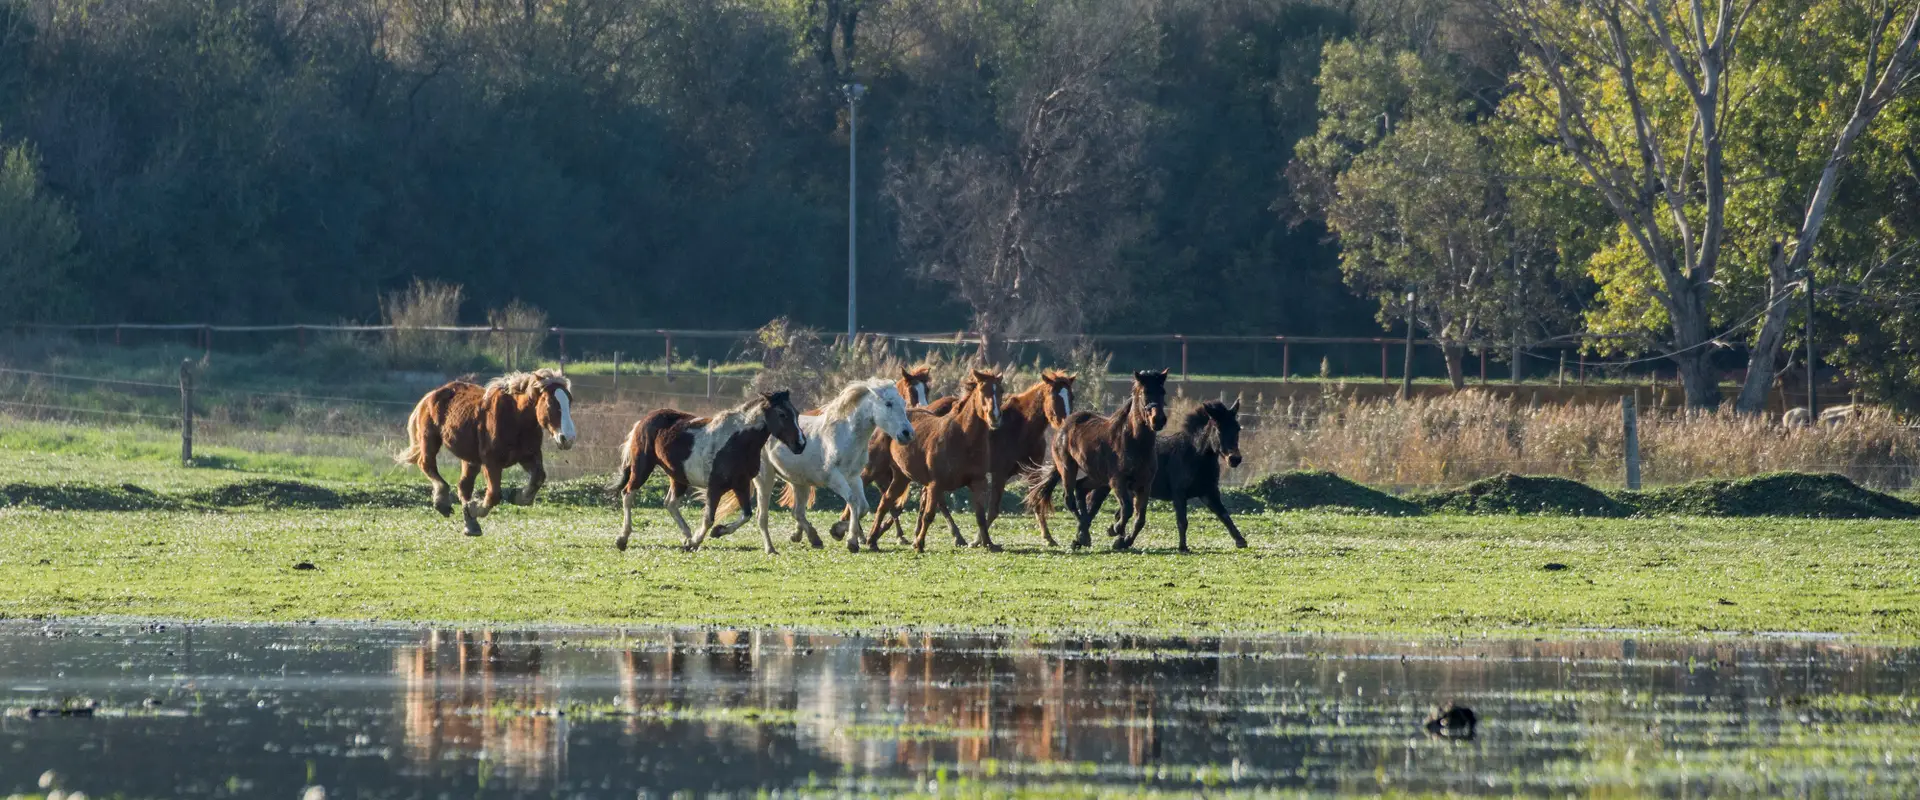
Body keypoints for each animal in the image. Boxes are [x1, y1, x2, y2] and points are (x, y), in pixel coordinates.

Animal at [397, 368, 576, 537]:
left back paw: (471, 525)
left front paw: (516, 496)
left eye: (569, 401)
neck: (515, 417)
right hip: (430, 440)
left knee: (463, 486)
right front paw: (475, 508)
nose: (568, 438)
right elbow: (494, 494)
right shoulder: (491, 463)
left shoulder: (528, 456)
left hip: (470, 459)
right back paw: (443, 502)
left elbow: (538, 478)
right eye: (550, 403)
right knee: (427, 465)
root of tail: (430, 396)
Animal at [611, 391, 806, 553]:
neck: (737, 441)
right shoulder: (715, 487)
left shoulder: (741, 484)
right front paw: (698, 540)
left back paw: (687, 537)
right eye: (782, 414)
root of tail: (643, 421)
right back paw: (622, 539)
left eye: (796, 413)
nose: (801, 444)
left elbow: (746, 515)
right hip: (642, 468)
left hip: (678, 477)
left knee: (670, 503)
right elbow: (709, 518)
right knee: (628, 494)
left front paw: (717, 532)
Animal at [737, 378, 914, 554]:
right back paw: (771, 548)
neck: (845, 436)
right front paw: (851, 541)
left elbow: (863, 506)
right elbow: (853, 501)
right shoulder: (834, 478)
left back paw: (809, 537)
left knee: (797, 512)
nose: (907, 433)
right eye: (888, 404)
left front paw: (837, 530)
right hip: (765, 478)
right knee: (763, 516)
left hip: (799, 482)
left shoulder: (854, 477)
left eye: (903, 403)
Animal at [869, 369, 1005, 552]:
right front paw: (919, 543)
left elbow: (980, 516)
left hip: (901, 476)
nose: (995, 416)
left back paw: (872, 539)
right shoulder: (935, 484)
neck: (963, 438)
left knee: (885, 502)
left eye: (1001, 391)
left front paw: (988, 543)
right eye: (983, 390)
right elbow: (929, 515)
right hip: (873, 468)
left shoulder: (978, 482)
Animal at [1023, 370, 1168, 549]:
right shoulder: (1117, 481)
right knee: (1069, 498)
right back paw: (1083, 535)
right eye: (1144, 392)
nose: (1159, 420)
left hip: (1098, 477)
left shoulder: (1144, 485)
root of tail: (1065, 424)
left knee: (1080, 488)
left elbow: (1140, 519)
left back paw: (1082, 533)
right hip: (1068, 468)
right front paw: (1115, 530)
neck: (1134, 442)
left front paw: (1123, 540)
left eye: (1162, 392)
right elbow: (1127, 509)